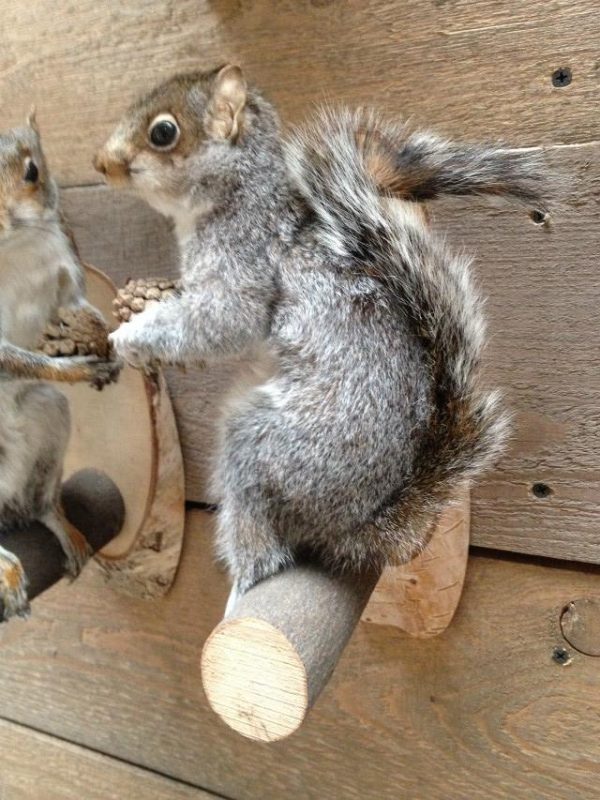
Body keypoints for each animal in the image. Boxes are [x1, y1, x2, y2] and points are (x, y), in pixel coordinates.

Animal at [96, 64, 548, 612]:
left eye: (163, 132)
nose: (101, 163)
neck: (239, 193)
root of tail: (357, 525)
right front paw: (144, 301)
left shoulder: (245, 259)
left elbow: (224, 319)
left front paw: (129, 336)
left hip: (265, 447)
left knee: (263, 544)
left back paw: (243, 581)